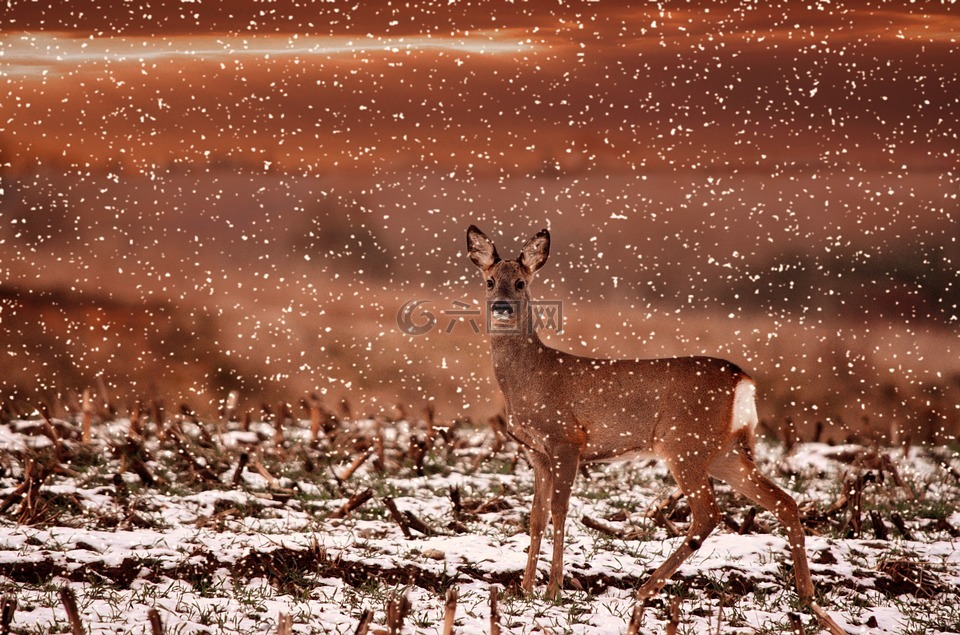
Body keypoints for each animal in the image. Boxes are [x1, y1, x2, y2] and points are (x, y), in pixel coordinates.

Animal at [466, 225, 846, 635]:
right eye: (490, 281)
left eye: (521, 283)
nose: (501, 307)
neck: (532, 378)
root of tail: (743, 381)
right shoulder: (535, 450)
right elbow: (535, 516)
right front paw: (523, 589)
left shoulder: (567, 439)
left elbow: (559, 509)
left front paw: (552, 590)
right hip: (724, 451)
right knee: (784, 501)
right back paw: (808, 597)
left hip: (685, 444)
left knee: (708, 514)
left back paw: (646, 588)